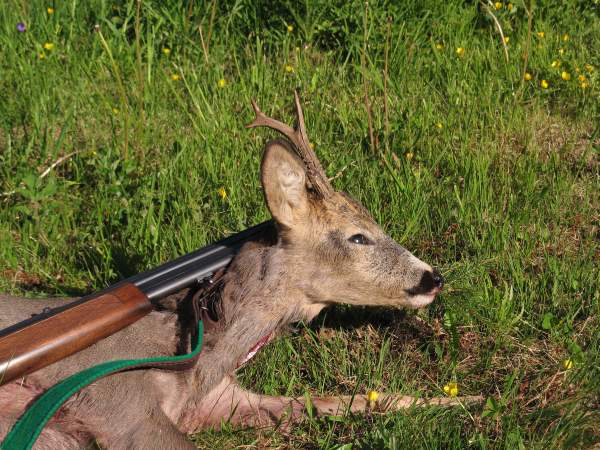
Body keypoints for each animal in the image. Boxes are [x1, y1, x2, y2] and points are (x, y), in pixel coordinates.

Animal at [0, 93, 481, 449]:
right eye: (358, 237)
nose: (432, 278)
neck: (196, 361)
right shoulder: (113, 398)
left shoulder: (221, 400)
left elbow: (355, 398)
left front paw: (468, 399)